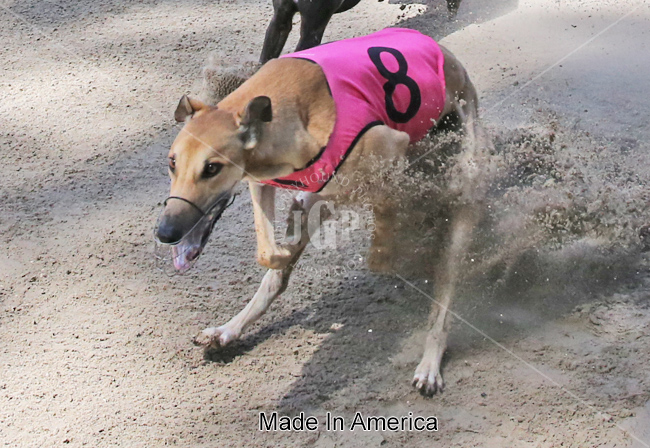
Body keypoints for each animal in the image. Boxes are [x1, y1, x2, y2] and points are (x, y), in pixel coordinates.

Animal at [156, 28, 492, 395]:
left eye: (212, 168)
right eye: (172, 163)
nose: (165, 232)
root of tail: (446, 55)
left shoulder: (389, 150)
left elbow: (366, 205)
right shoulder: (262, 180)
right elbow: (268, 251)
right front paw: (283, 252)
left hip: (463, 196)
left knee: (444, 293)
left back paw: (430, 362)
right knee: (278, 273)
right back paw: (229, 329)